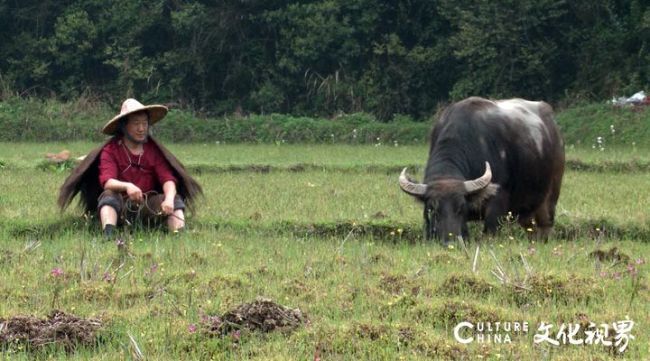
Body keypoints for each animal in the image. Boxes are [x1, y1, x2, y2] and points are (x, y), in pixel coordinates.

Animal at [398, 96, 560, 242]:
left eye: (461, 208)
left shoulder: (498, 199)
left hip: (551, 196)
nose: (450, 241)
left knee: (546, 225)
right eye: (432, 209)